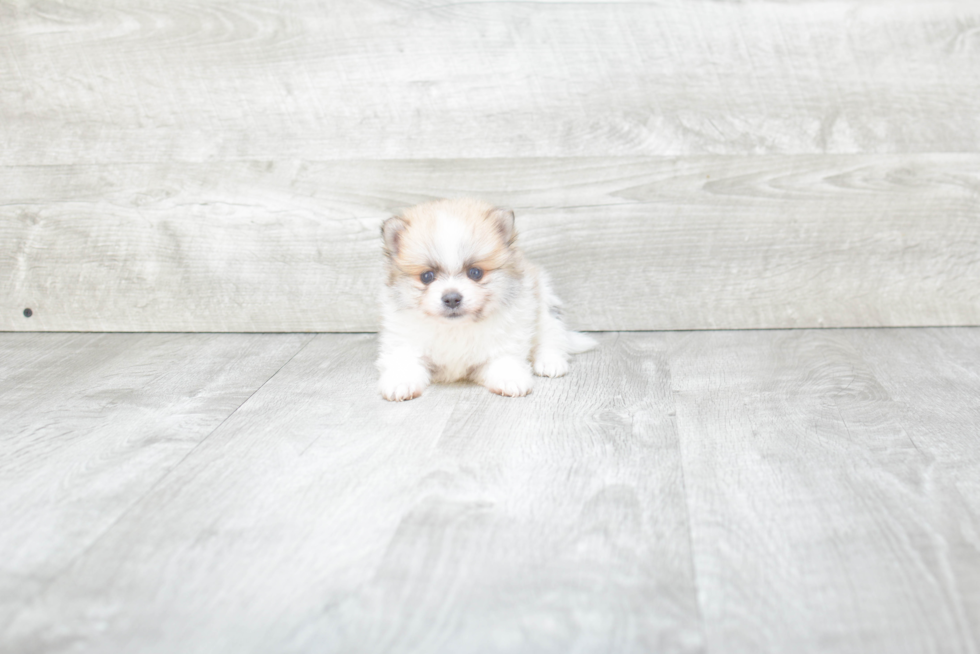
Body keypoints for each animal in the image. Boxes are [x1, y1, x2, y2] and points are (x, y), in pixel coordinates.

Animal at [376, 197, 592, 402]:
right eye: (427, 276)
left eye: (475, 273)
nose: (452, 298)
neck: (456, 328)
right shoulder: (405, 342)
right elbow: (405, 361)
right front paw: (401, 383)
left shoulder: (506, 338)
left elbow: (504, 359)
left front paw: (511, 378)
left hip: (544, 302)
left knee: (551, 336)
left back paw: (550, 362)